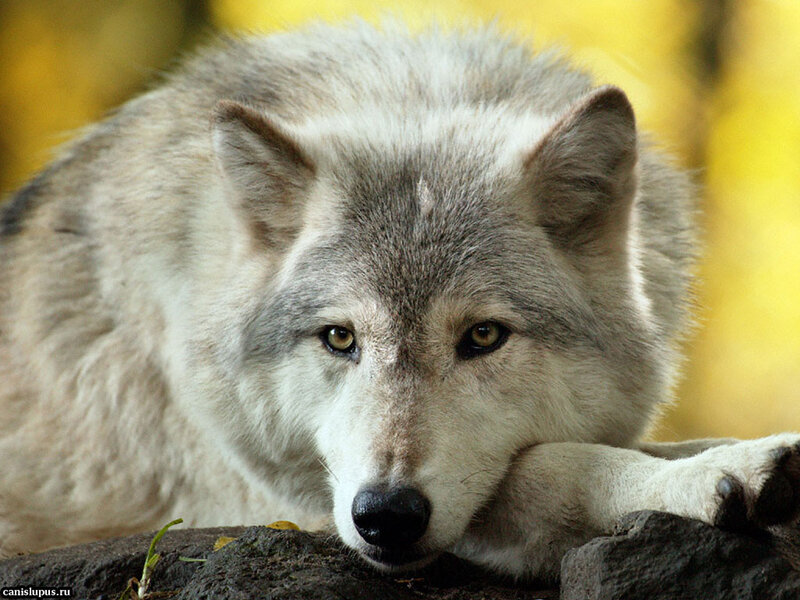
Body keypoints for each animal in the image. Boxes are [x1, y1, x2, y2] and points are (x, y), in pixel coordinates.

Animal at [1, 21, 798, 580]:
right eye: (339, 338)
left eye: (483, 337)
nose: (386, 515)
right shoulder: (293, 504)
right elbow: (558, 466)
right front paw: (701, 480)